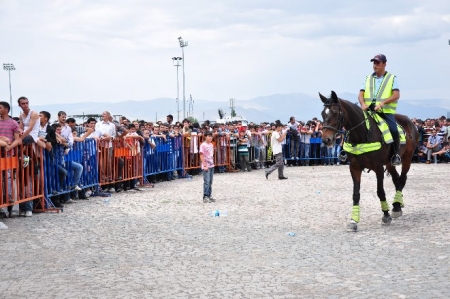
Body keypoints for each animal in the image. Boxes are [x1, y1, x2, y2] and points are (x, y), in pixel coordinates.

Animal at [318, 91, 420, 232]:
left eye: (335, 112)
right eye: (323, 113)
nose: (326, 139)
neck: (362, 134)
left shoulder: (378, 167)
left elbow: (380, 191)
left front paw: (386, 215)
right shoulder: (354, 168)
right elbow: (356, 194)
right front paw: (353, 221)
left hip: (407, 158)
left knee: (403, 179)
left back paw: (396, 206)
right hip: (389, 163)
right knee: (397, 179)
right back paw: (397, 205)